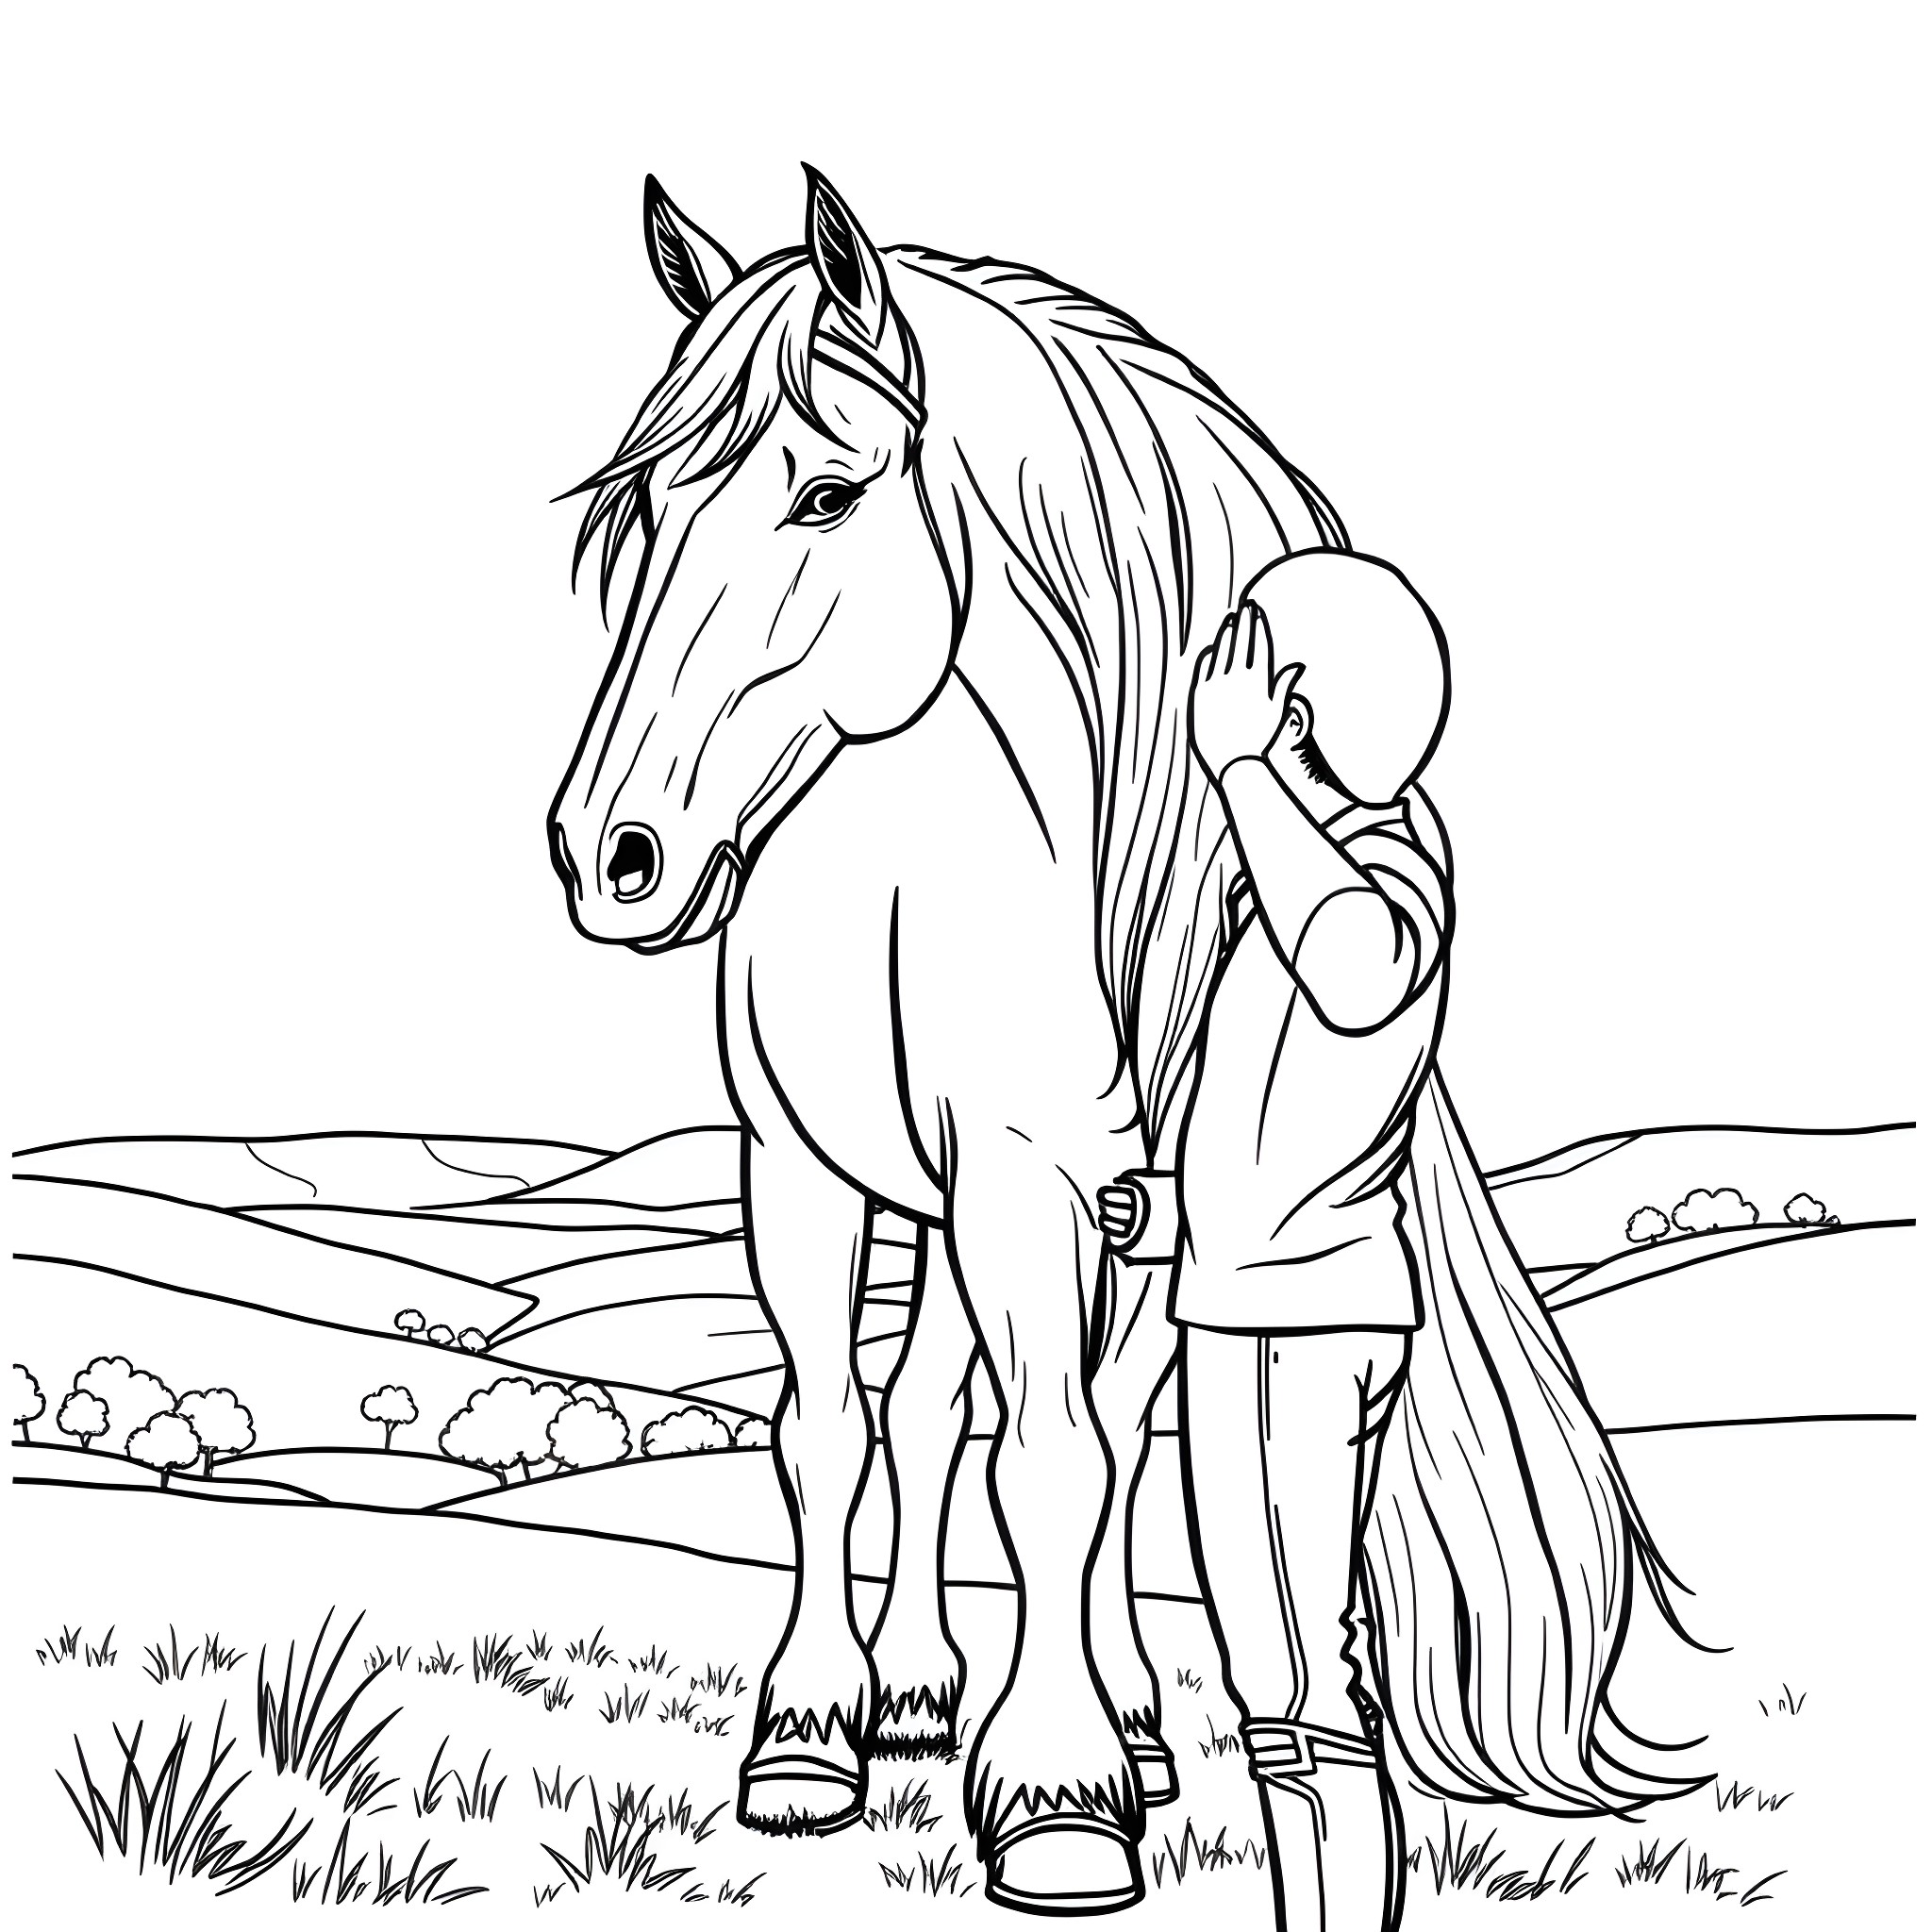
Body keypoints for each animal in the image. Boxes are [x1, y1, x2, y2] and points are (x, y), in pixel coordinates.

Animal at [548, 170, 1699, 1915]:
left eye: (824, 492)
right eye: (642, 518)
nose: (612, 854)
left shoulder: (1070, 1188)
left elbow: (1065, 1459)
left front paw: (1064, 1781)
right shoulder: (798, 1164)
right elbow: (824, 1427)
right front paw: (806, 1735)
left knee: (1052, 1422)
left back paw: (1089, 1715)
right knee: (918, 1412)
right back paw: (904, 1689)